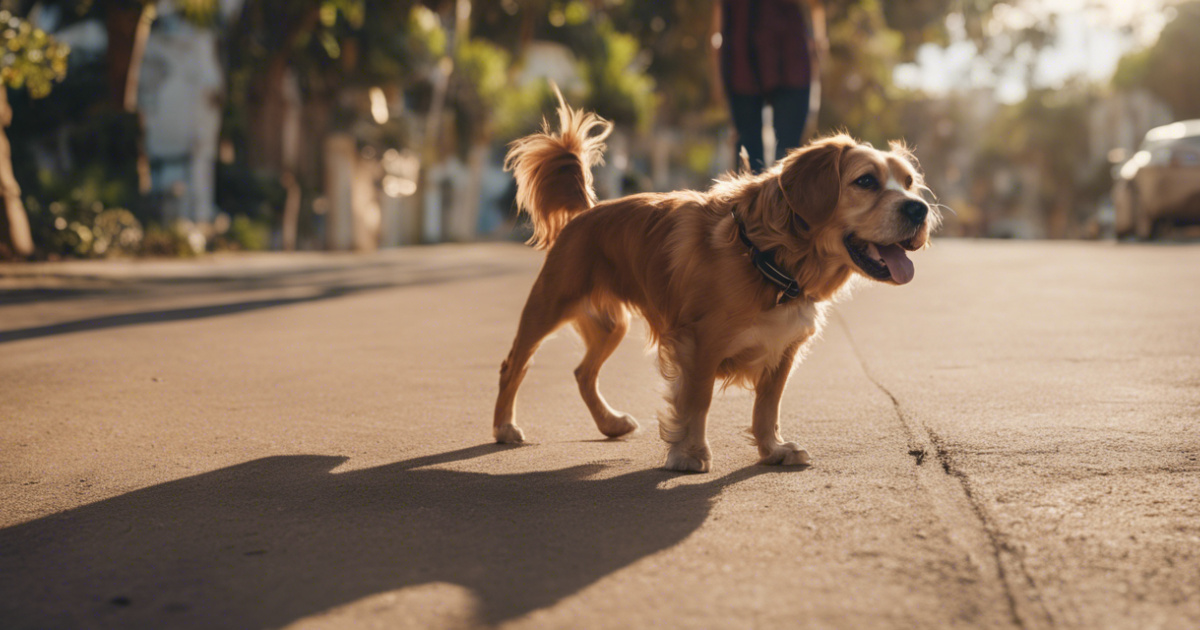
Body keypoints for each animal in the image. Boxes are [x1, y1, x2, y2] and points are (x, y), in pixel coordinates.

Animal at [489, 94, 936, 470]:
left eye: (909, 183)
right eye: (865, 181)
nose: (920, 210)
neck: (769, 257)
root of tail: (586, 212)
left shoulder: (784, 348)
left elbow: (768, 405)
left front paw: (772, 449)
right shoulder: (700, 343)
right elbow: (698, 400)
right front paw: (689, 453)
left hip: (611, 325)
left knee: (583, 372)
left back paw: (609, 422)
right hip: (549, 304)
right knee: (514, 364)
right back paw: (503, 427)